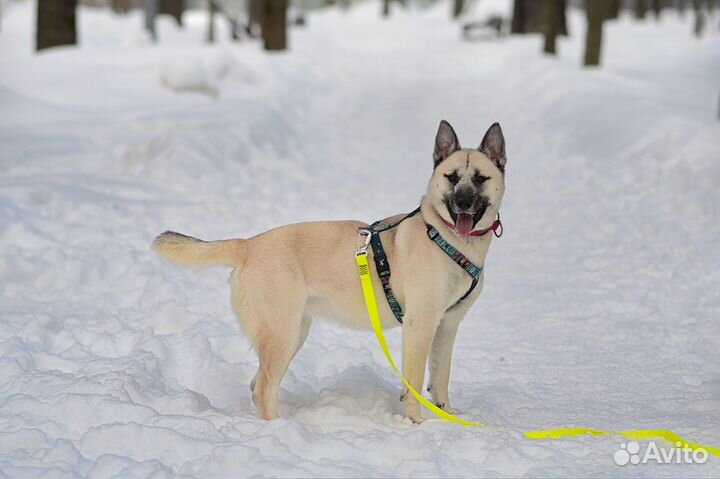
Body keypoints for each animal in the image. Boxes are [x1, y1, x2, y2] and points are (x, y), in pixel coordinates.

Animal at [153, 121, 506, 424]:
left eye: (480, 179)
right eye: (451, 177)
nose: (462, 202)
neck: (445, 237)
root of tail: (248, 244)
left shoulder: (447, 325)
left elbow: (441, 377)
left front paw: (447, 414)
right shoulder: (421, 325)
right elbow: (415, 383)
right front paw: (416, 423)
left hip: (293, 332)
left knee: (257, 385)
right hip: (282, 334)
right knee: (264, 387)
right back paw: (278, 428)